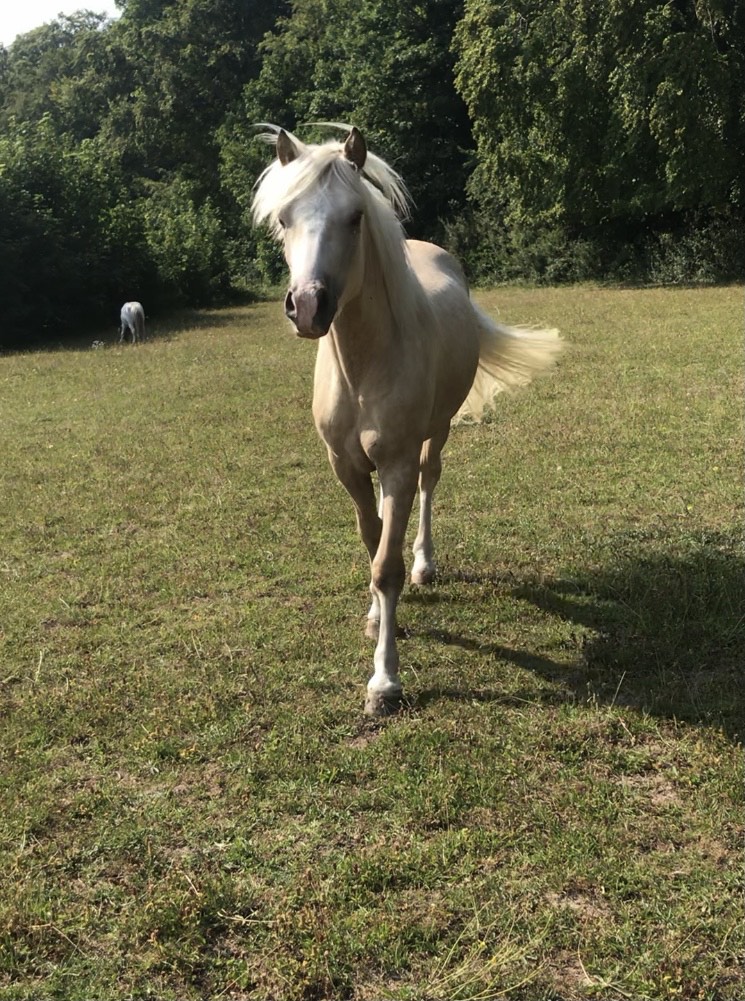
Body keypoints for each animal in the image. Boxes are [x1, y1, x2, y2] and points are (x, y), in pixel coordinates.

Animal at [252, 125, 562, 715]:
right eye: (283, 218)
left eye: (355, 217)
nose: (308, 306)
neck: (363, 366)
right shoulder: (346, 467)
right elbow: (372, 540)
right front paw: (376, 621)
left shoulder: (394, 463)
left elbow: (387, 566)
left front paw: (384, 683)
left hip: (436, 432)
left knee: (428, 482)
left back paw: (425, 564)